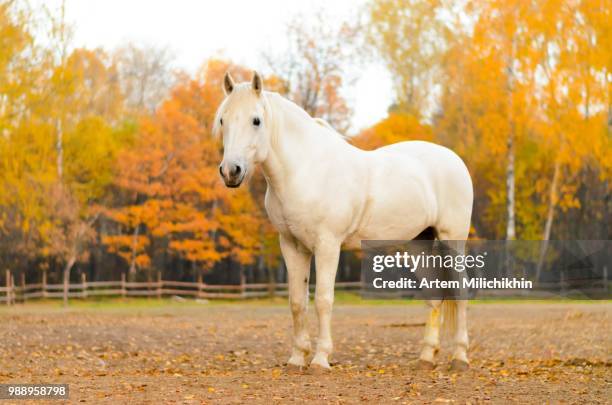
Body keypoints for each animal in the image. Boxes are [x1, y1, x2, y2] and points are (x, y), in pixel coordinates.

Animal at [214, 72, 474, 370]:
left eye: (256, 120)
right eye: (223, 120)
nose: (230, 171)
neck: (306, 170)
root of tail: (455, 160)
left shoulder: (328, 245)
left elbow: (323, 300)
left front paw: (320, 360)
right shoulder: (291, 246)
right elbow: (297, 302)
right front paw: (296, 358)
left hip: (452, 240)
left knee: (461, 290)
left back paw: (460, 357)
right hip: (418, 242)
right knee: (433, 295)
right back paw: (426, 357)